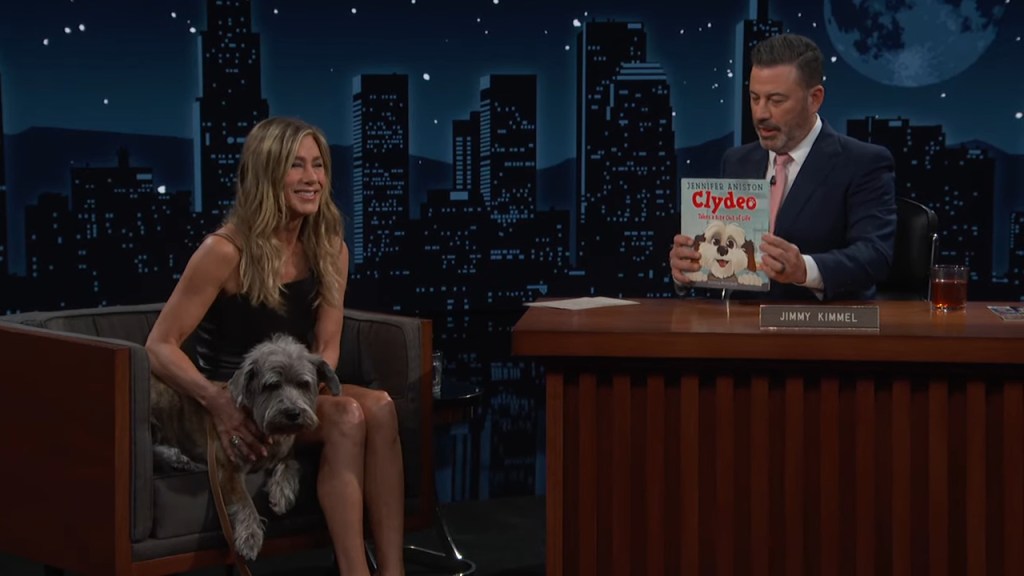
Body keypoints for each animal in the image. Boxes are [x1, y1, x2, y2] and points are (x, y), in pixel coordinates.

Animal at [148, 332, 342, 561]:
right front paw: (250, 538)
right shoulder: (229, 470)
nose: (293, 413)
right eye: (271, 385)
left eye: (303, 384)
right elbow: (244, 502)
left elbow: (292, 465)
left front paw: (281, 495)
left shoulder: (286, 453)